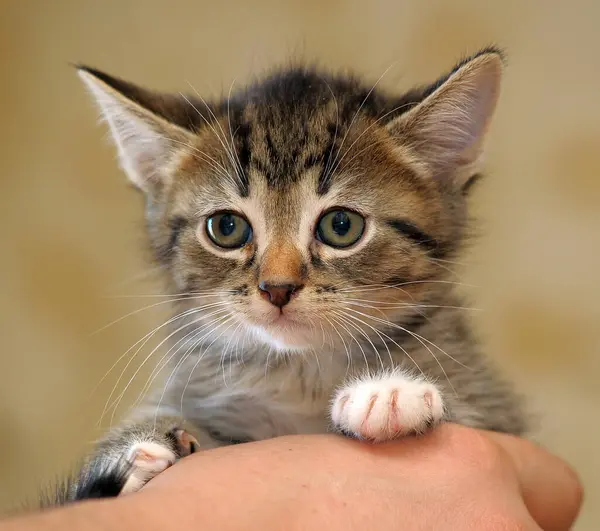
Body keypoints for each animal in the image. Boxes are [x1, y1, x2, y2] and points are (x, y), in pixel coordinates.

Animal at [59, 47, 524, 500]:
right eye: (226, 228)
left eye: (341, 226)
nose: (277, 288)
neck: (300, 373)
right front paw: (133, 448)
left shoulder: (495, 408)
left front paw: (391, 393)